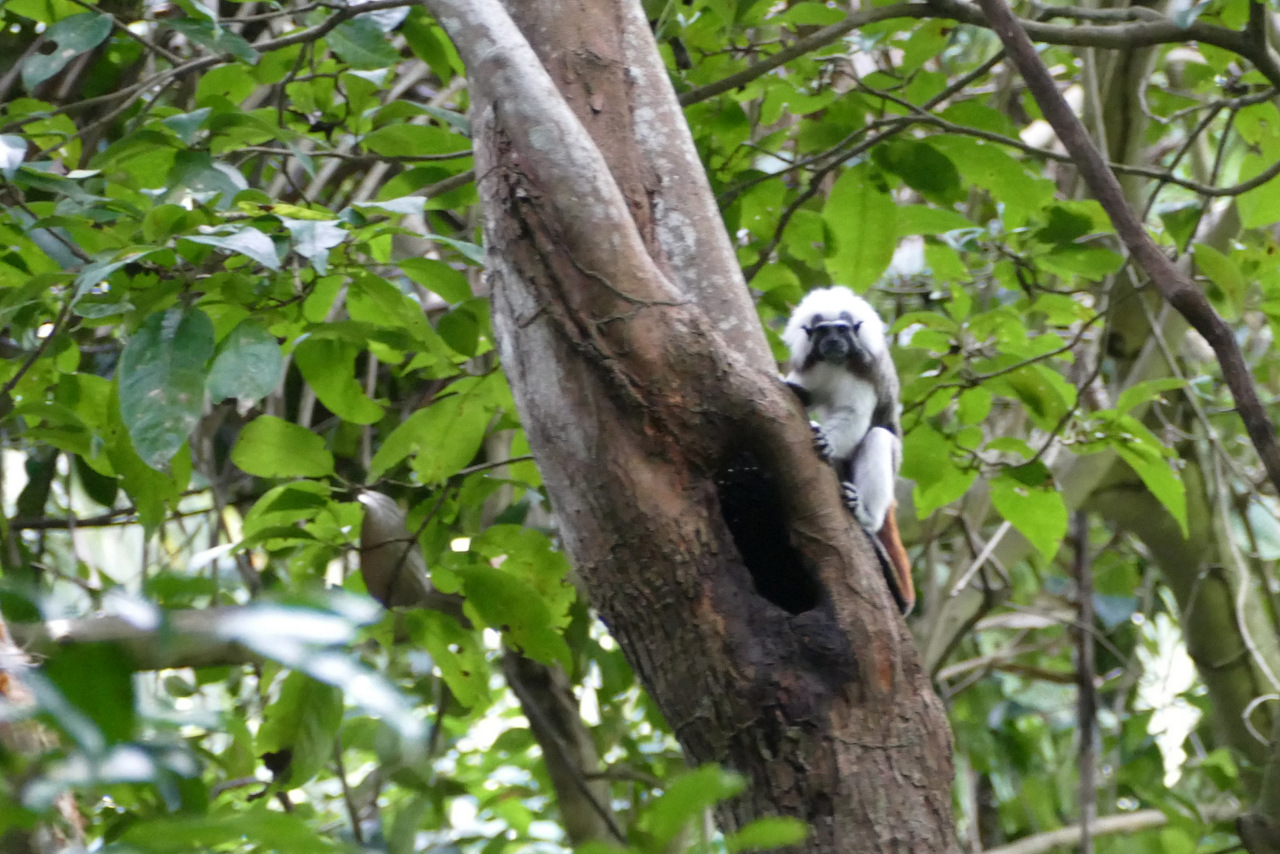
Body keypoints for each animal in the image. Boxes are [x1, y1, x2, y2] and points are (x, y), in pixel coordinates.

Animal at [778, 286, 911, 614]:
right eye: (823, 331)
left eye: (841, 329)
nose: (833, 343)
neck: (834, 363)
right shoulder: (811, 365)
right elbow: (800, 393)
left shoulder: (862, 371)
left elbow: (855, 415)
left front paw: (826, 440)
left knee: (878, 437)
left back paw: (866, 515)